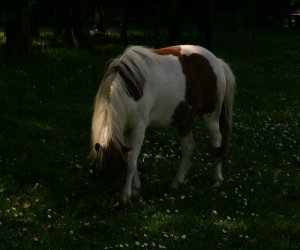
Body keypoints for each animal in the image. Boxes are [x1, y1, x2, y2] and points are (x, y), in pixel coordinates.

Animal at [90, 44, 236, 203]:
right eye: (102, 168)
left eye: (121, 169)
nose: (112, 194)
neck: (130, 88)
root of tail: (217, 61)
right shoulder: (126, 130)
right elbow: (132, 158)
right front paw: (135, 189)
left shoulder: (138, 128)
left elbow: (132, 160)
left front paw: (126, 195)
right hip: (184, 121)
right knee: (189, 149)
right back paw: (176, 184)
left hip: (210, 117)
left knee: (218, 144)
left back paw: (216, 180)